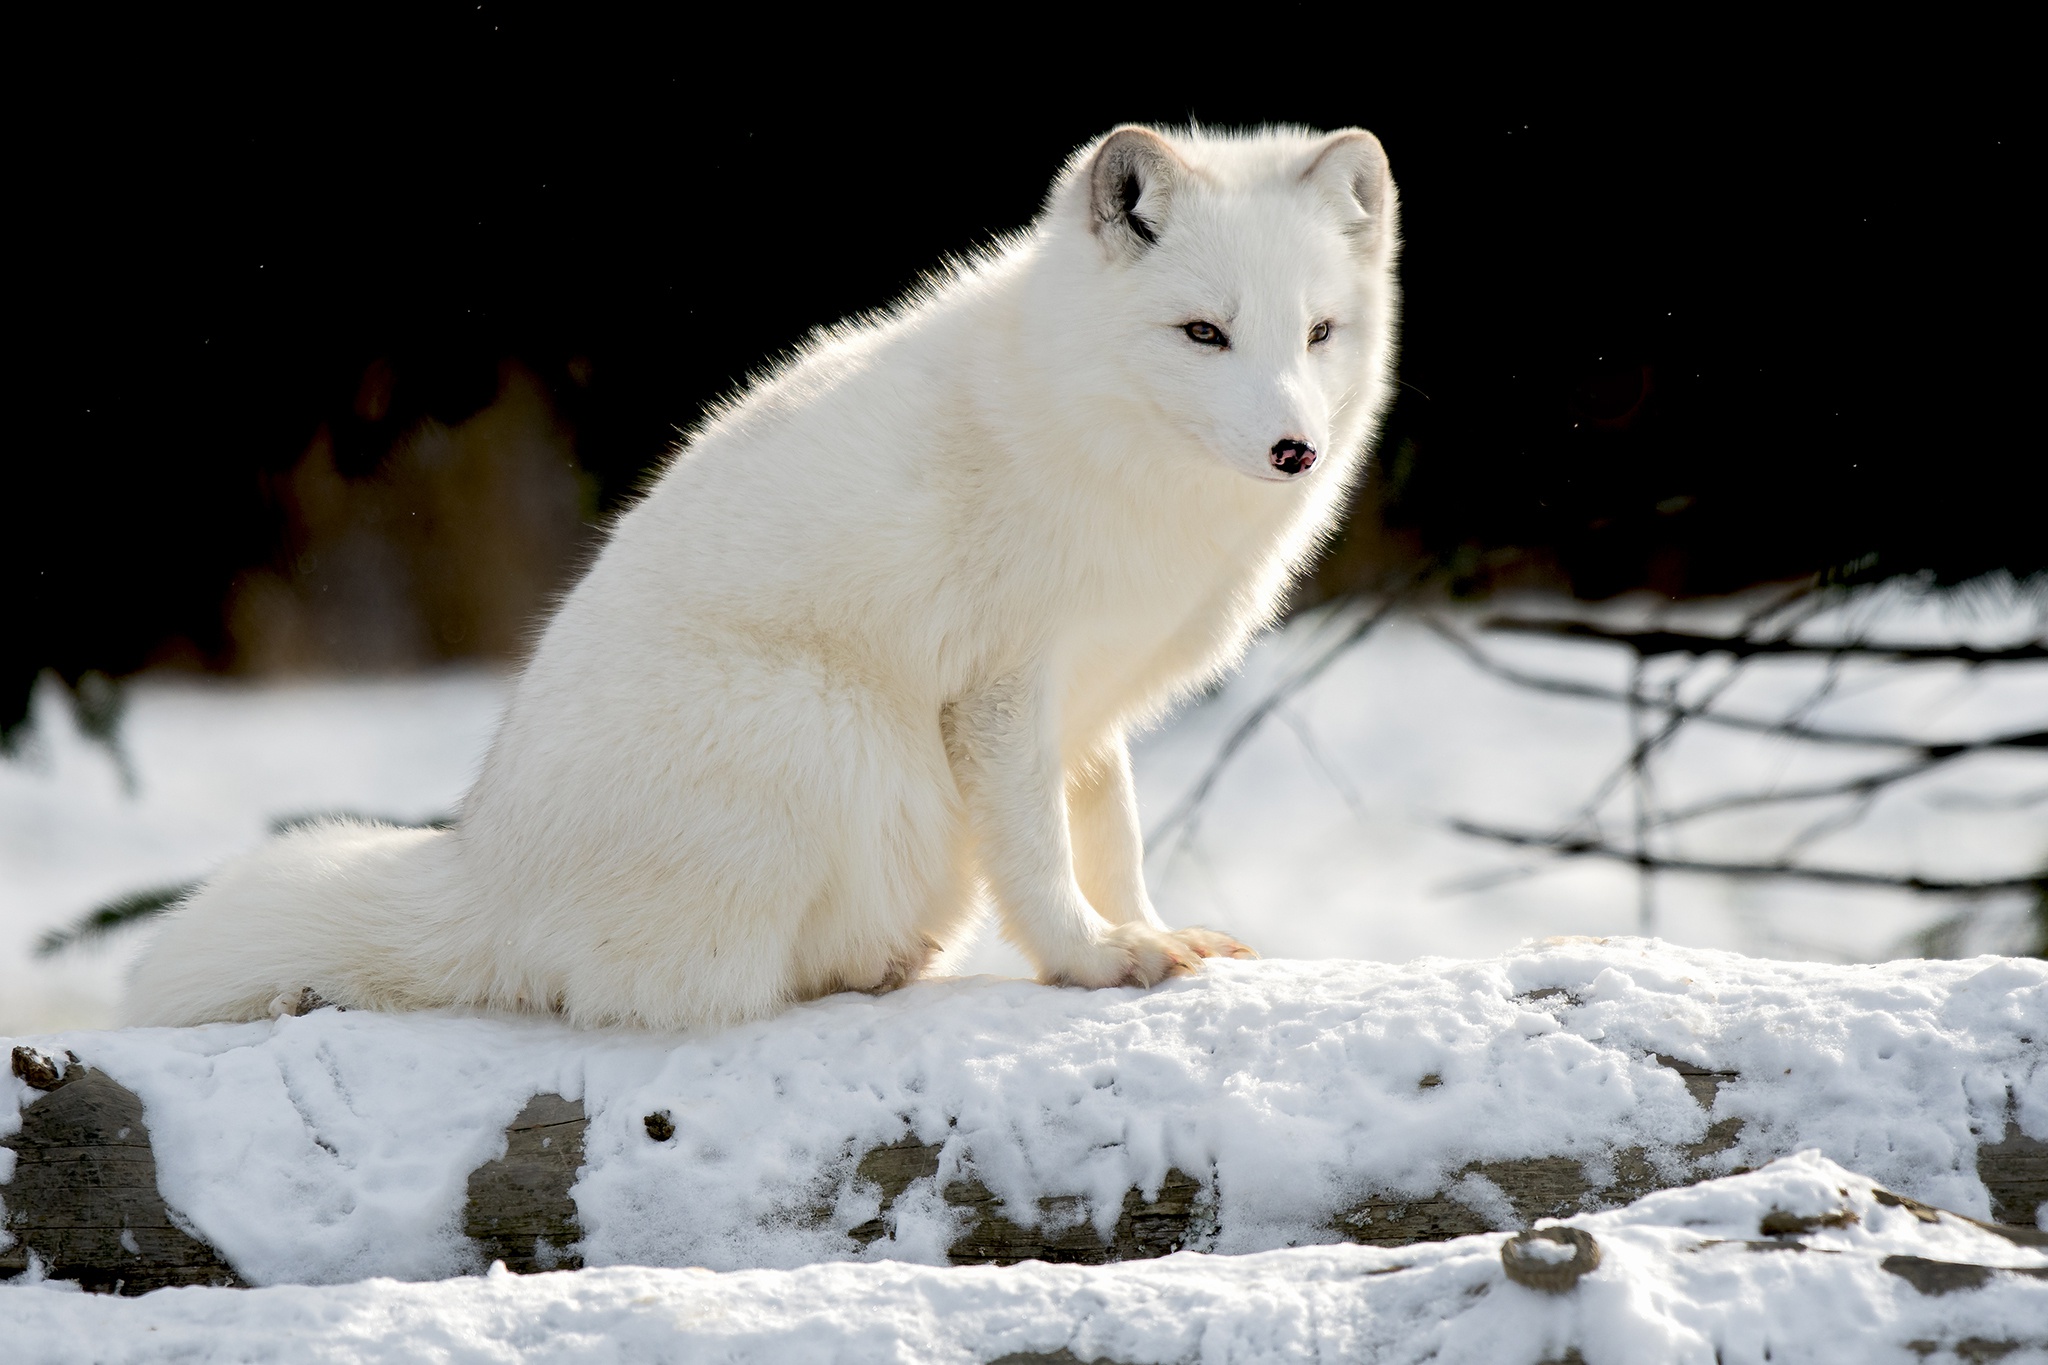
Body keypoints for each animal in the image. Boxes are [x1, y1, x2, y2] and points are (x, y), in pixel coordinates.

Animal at [128, 125, 1400, 1035]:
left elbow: (1113, 839)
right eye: (1201, 333)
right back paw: (852, 972)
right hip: (828, 732)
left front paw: (1146, 932)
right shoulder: (1000, 690)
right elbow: (1040, 858)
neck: (1097, 439)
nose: (1295, 450)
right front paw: (1089, 960)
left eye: (1317, 334)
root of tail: (481, 870)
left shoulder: (1090, 706)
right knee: (664, 993)